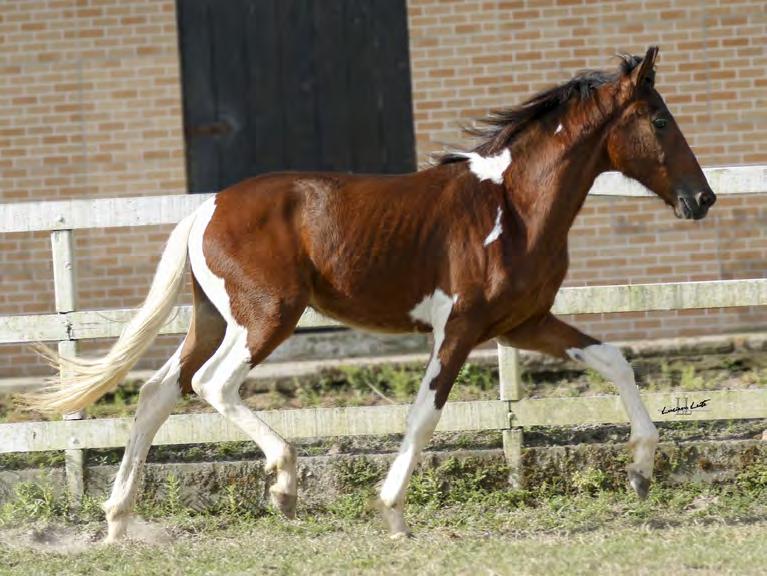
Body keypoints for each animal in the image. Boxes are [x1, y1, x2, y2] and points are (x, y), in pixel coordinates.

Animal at [25, 46, 720, 540]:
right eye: (660, 119)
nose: (702, 198)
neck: (514, 207)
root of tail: (206, 209)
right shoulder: (460, 328)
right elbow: (426, 413)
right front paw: (391, 510)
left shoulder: (524, 323)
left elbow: (613, 359)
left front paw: (640, 472)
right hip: (266, 318)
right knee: (212, 384)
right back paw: (283, 484)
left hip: (213, 319)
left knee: (156, 392)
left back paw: (118, 519)